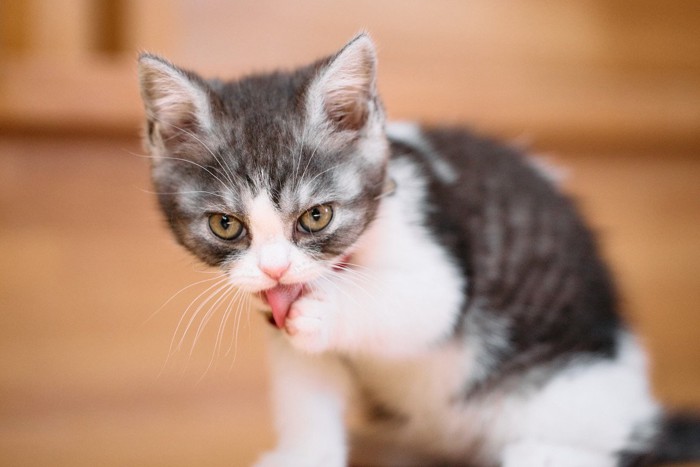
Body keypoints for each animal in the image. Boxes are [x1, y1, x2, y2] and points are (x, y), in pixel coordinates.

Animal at [138, 34, 700, 466]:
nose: (275, 270)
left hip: (562, 389)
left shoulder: (437, 250)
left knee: (624, 446)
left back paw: (543, 453)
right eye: (226, 225)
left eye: (316, 217)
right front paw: (305, 454)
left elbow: (423, 303)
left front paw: (329, 307)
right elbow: (305, 388)